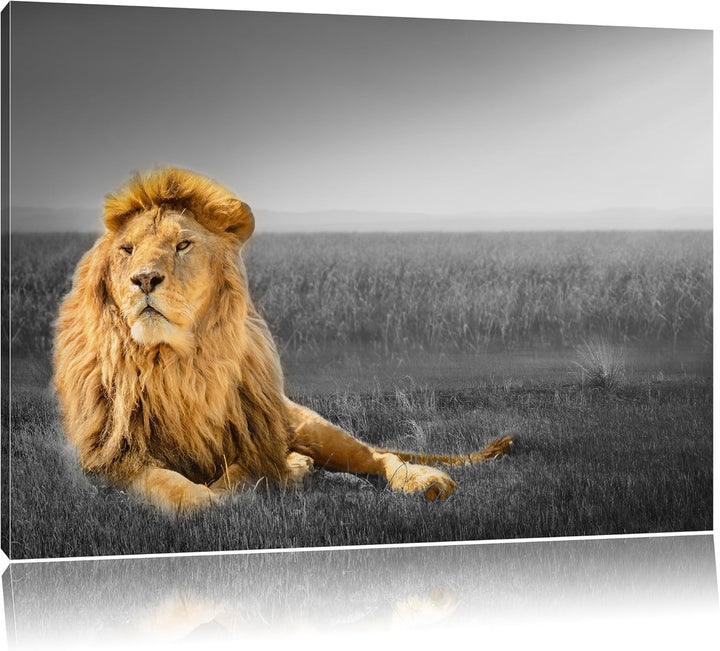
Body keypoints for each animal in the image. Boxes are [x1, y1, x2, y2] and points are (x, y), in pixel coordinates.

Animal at [53, 168, 513, 513]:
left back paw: (423, 482)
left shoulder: (255, 439)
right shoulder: (111, 460)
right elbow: (173, 486)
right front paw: (221, 493)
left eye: (183, 244)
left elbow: (244, 472)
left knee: (380, 457)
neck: (175, 364)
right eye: (127, 250)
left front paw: (277, 476)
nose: (144, 279)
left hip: (312, 429)